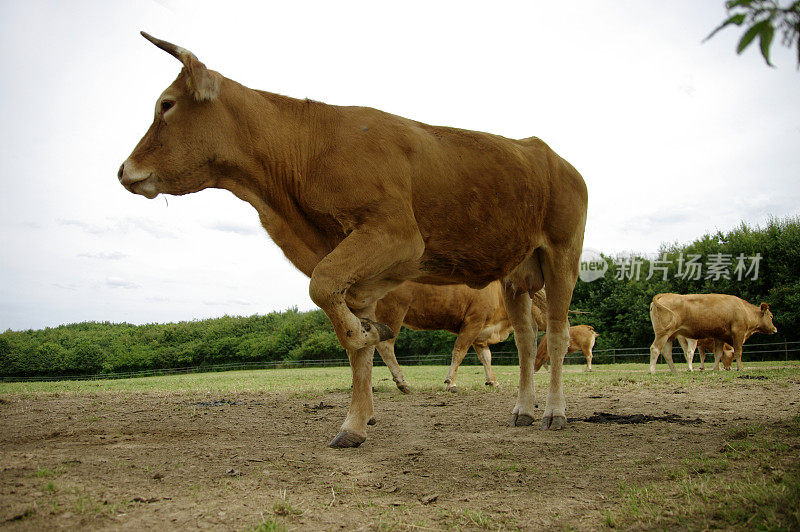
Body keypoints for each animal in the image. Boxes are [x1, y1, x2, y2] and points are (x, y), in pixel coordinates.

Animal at [372, 282, 548, 390]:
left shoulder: (480, 333)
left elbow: (486, 357)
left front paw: (493, 381)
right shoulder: (473, 322)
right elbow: (459, 351)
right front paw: (451, 383)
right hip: (393, 311)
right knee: (385, 346)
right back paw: (402, 381)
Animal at [648, 296, 776, 374]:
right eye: (771, 316)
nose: (775, 329)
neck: (744, 310)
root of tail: (664, 296)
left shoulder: (719, 336)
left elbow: (717, 354)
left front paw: (715, 369)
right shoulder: (738, 333)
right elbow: (738, 351)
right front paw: (740, 368)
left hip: (670, 336)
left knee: (667, 352)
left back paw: (674, 371)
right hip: (664, 334)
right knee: (656, 349)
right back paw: (652, 371)